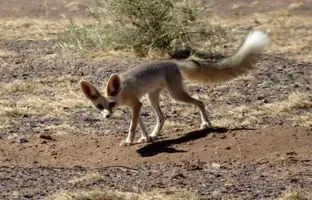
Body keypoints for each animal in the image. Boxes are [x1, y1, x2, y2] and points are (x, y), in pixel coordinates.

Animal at [80, 30, 268, 145]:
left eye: (110, 104)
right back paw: (155, 134)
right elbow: (140, 124)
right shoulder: (136, 106)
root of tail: (172, 61)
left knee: (200, 102)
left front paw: (129, 141)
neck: (122, 91)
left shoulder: (137, 104)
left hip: (176, 95)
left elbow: (133, 126)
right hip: (152, 97)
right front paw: (146, 137)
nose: (107, 116)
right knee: (162, 117)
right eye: (100, 106)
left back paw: (206, 124)